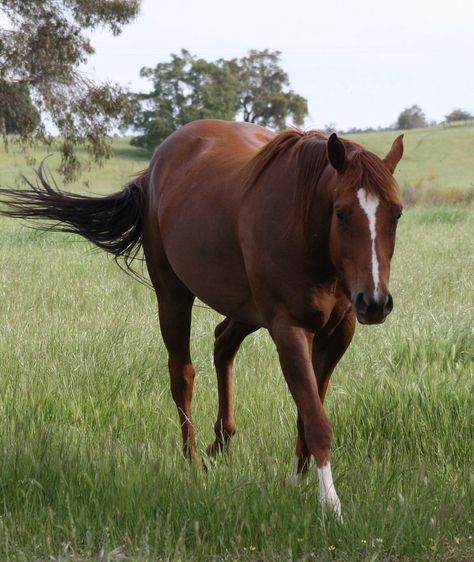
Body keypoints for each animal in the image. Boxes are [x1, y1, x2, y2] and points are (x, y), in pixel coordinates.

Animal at [0, 118, 404, 516]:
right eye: (341, 212)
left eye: (396, 213)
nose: (374, 302)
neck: (304, 227)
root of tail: (153, 169)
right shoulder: (289, 329)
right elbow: (316, 419)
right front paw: (331, 506)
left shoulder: (339, 332)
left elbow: (308, 411)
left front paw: (298, 481)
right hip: (174, 295)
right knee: (183, 375)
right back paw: (194, 463)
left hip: (246, 308)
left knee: (223, 343)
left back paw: (220, 442)